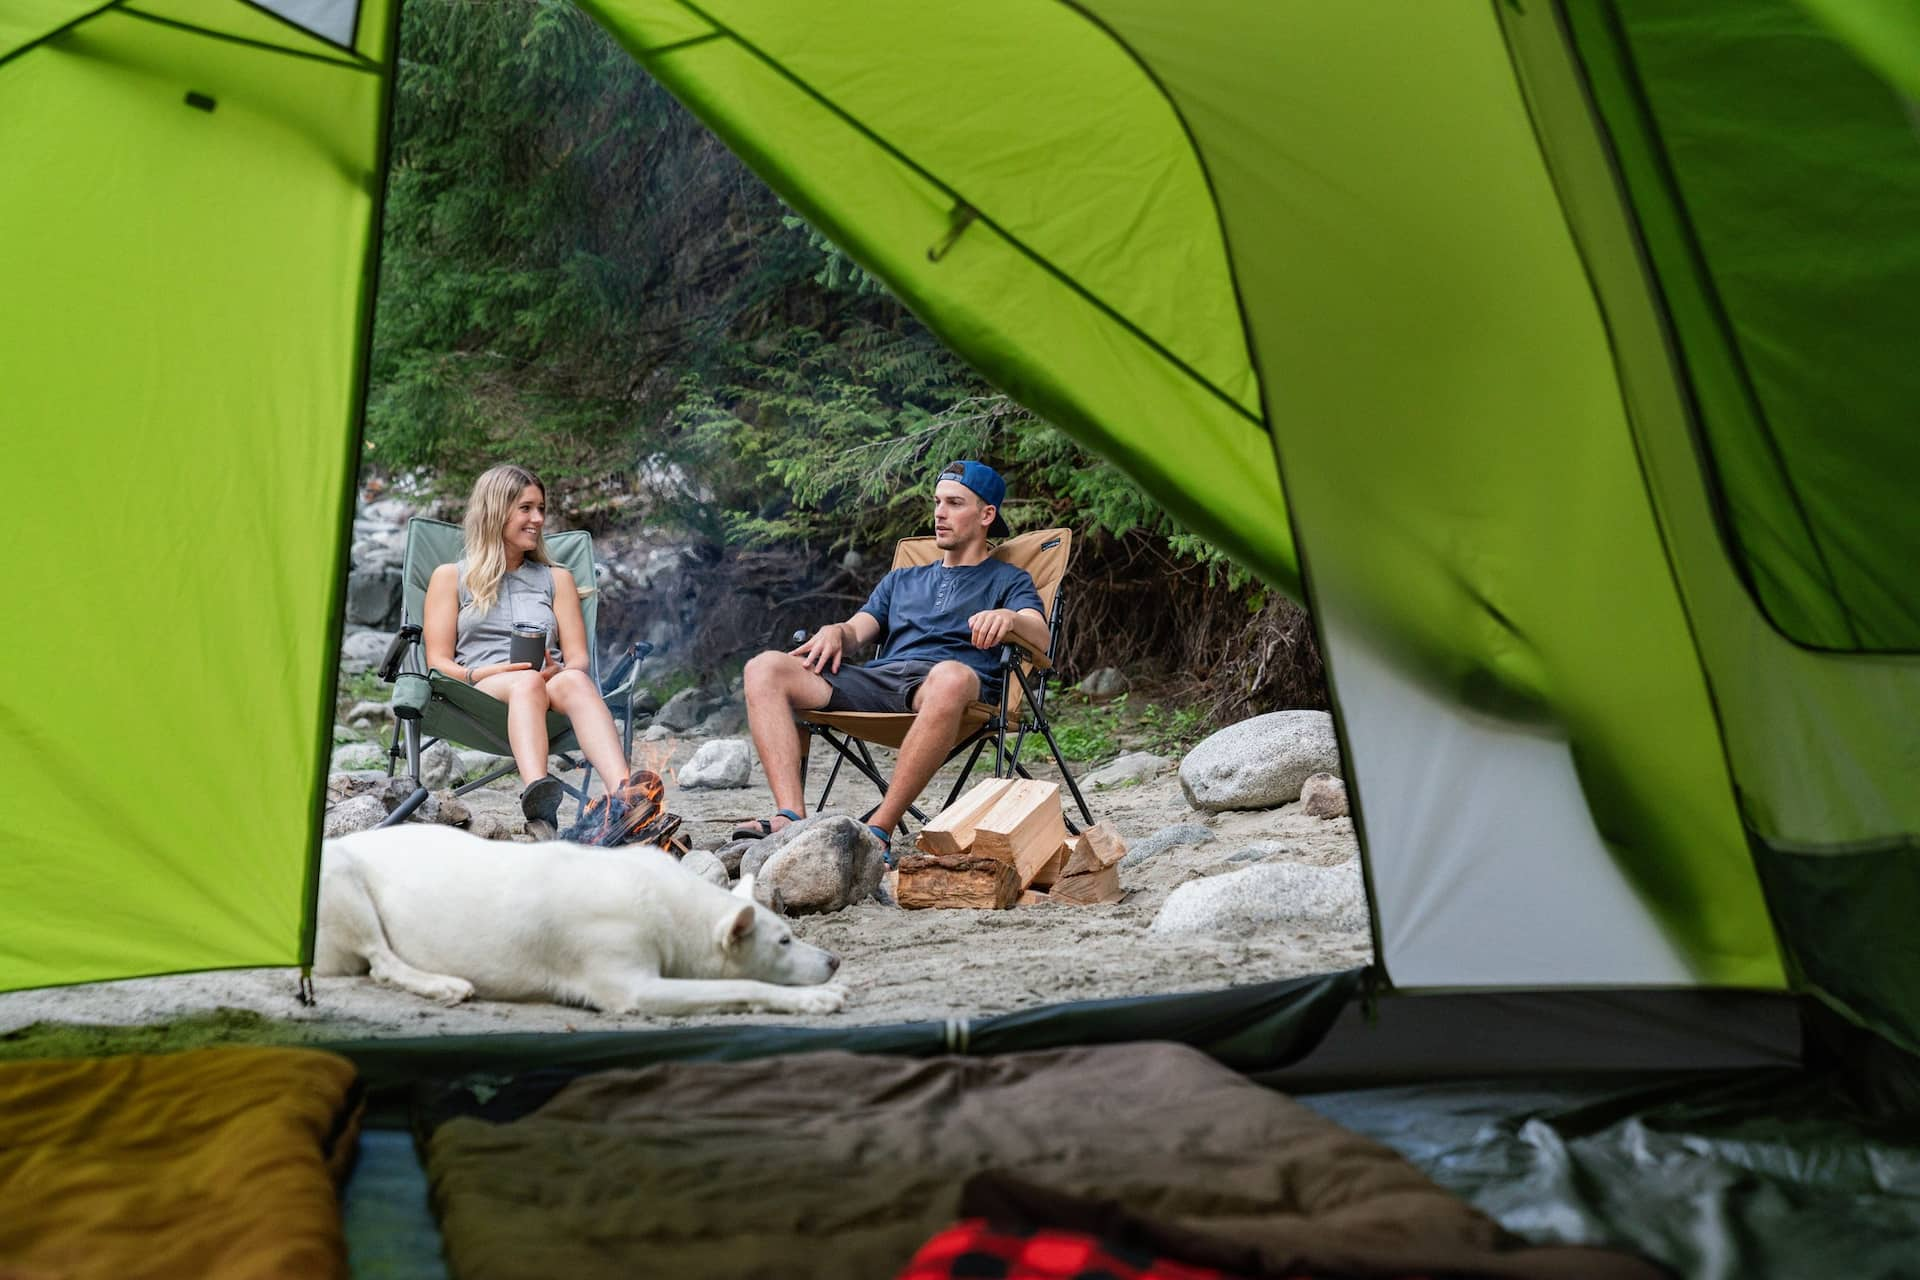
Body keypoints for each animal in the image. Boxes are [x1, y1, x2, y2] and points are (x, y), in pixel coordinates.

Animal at [318, 825, 844, 1013]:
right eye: (783, 943)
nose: (834, 961)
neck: (669, 905)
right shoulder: (624, 977)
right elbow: (738, 984)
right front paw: (813, 1000)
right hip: (337, 876)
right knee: (379, 957)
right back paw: (443, 985)